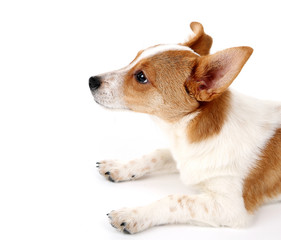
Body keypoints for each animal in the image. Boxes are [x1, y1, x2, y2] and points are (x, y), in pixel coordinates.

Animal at [89, 21, 280, 233]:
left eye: (141, 77)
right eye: (134, 57)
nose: (91, 80)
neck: (183, 133)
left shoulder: (231, 207)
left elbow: (174, 200)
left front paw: (133, 214)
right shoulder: (180, 155)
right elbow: (157, 154)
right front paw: (120, 167)